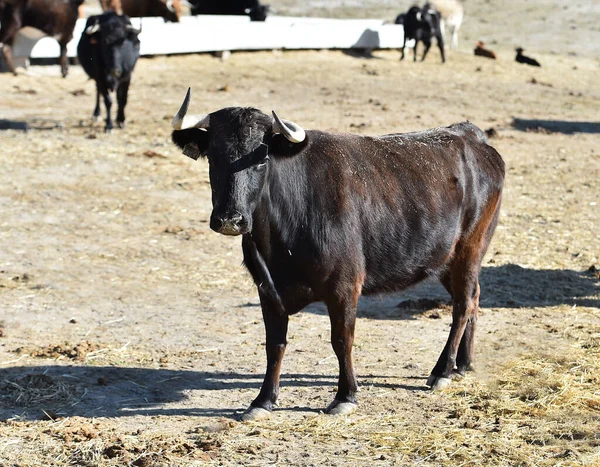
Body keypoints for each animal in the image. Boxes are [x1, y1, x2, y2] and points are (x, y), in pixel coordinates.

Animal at [170, 89, 506, 418]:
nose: (230, 219)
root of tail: (469, 134)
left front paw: (345, 396)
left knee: (462, 305)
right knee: (473, 297)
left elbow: (342, 340)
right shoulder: (267, 289)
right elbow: (274, 344)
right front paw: (263, 400)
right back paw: (462, 365)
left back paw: (442, 371)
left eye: (262, 158)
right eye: (213, 157)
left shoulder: (344, 287)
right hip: (446, 260)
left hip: (469, 250)